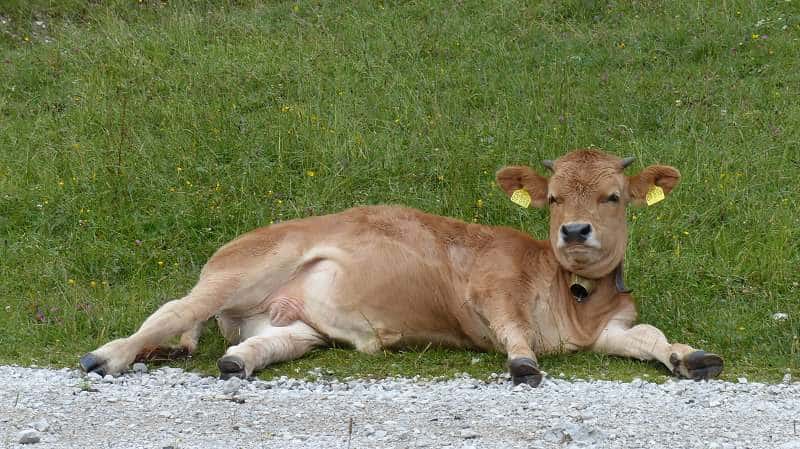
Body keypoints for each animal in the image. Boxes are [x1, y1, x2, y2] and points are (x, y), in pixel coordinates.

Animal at [81, 148, 724, 384]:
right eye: (555, 199)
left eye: (613, 197)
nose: (574, 232)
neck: (573, 300)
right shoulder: (489, 288)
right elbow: (512, 327)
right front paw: (522, 362)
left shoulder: (610, 332)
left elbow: (649, 336)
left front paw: (689, 355)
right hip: (247, 267)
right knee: (173, 309)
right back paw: (108, 356)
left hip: (296, 325)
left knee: (255, 346)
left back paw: (237, 362)